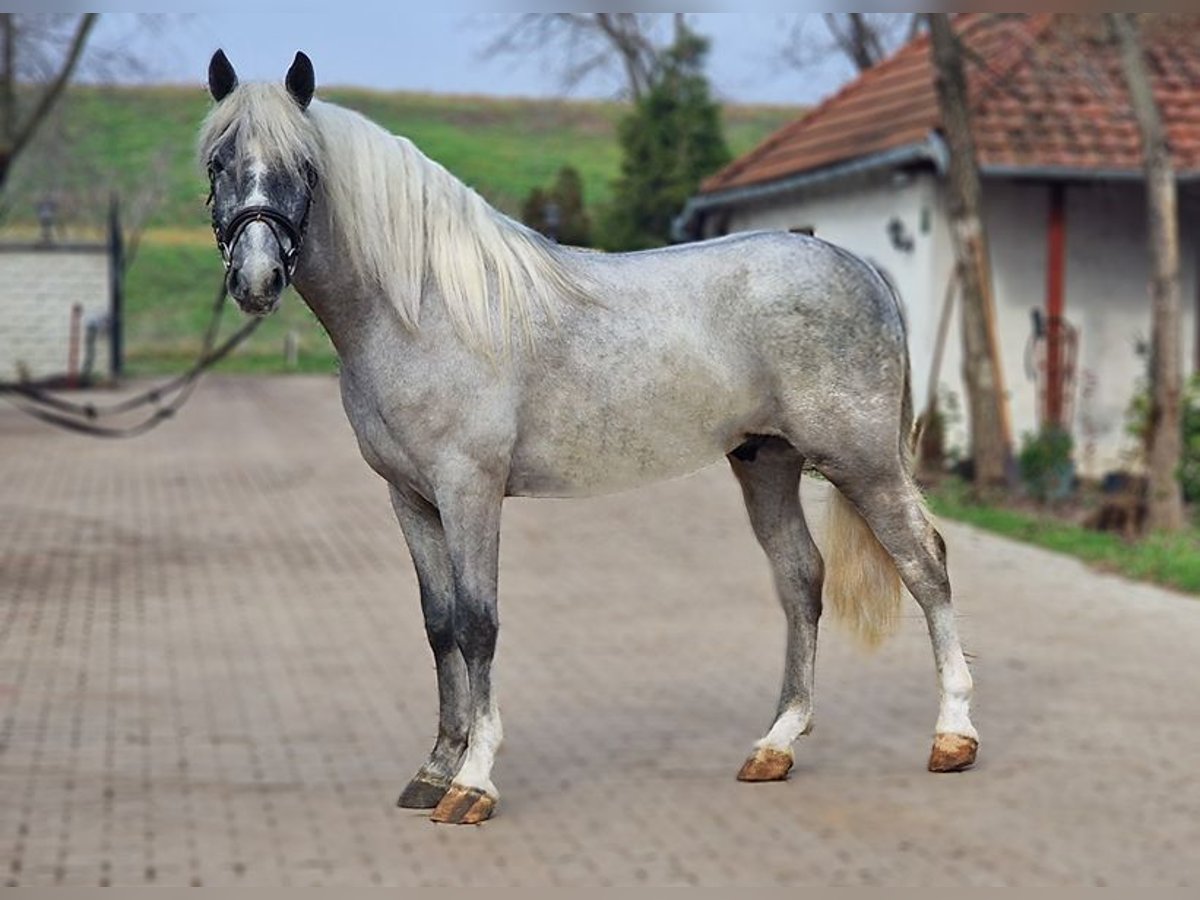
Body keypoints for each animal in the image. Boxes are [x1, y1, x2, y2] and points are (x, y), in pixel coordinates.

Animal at [201, 47, 979, 825]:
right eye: (217, 162)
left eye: (306, 168)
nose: (257, 278)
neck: (423, 306)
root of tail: (861, 266)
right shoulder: (410, 497)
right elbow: (439, 623)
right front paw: (434, 768)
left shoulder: (469, 489)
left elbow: (478, 623)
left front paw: (472, 781)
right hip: (767, 463)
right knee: (801, 579)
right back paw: (775, 745)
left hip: (862, 462)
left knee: (925, 565)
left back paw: (953, 736)